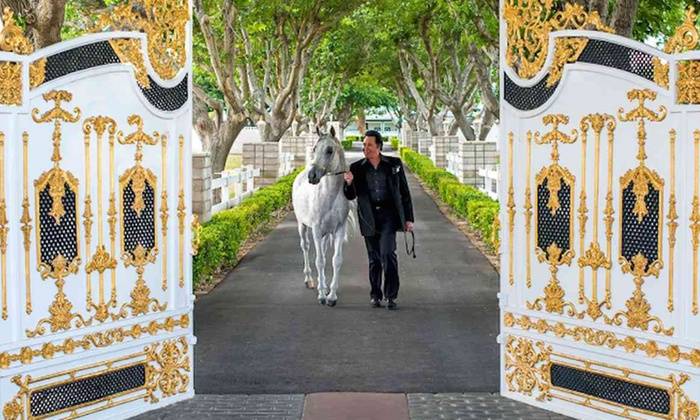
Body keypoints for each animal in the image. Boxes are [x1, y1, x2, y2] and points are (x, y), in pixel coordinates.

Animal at [292, 126, 356, 306]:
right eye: (314, 148)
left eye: (329, 150)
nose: (312, 176)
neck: (329, 196)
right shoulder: (316, 229)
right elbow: (319, 261)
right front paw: (321, 295)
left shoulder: (339, 230)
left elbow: (335, 260)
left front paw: (331, 295)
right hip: (303, 226)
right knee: (305, 247)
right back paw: (309, 280)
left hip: (326, 234)